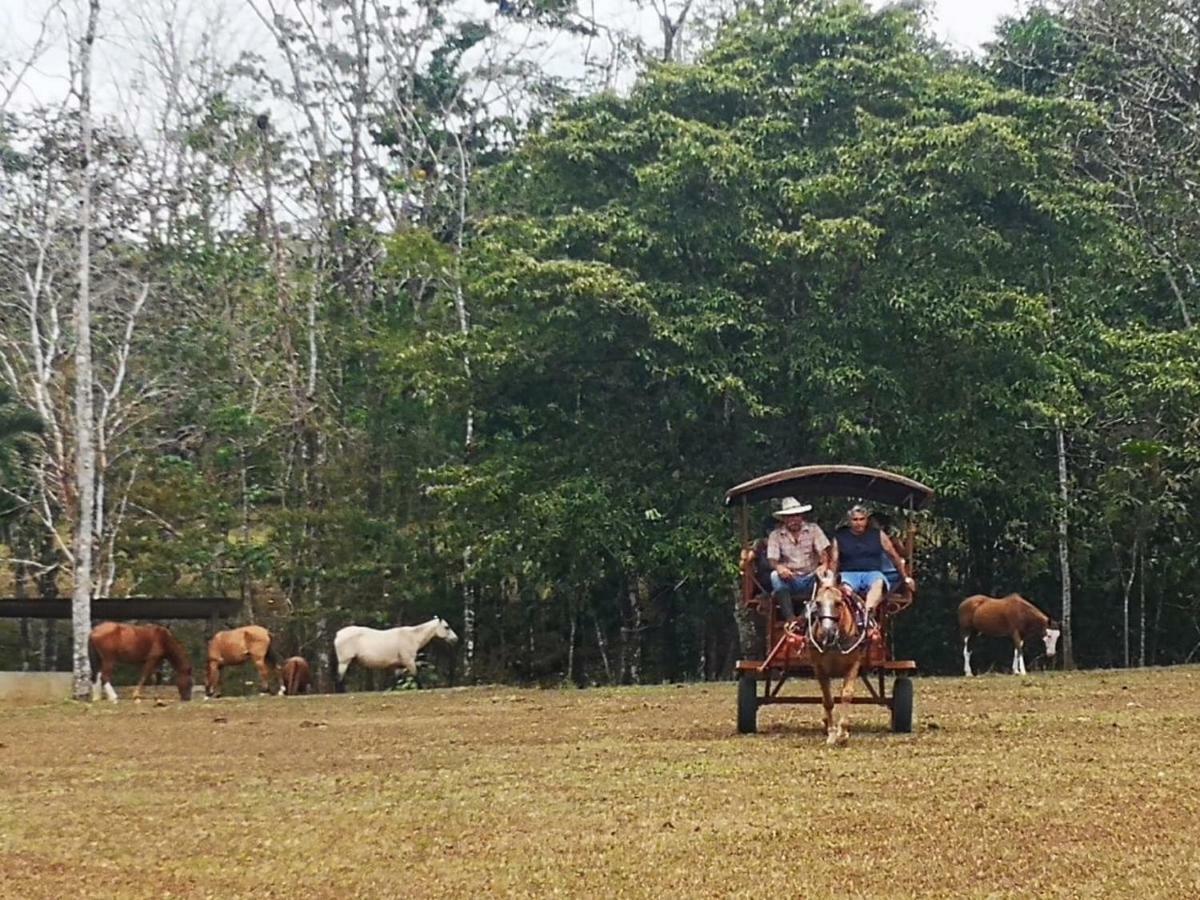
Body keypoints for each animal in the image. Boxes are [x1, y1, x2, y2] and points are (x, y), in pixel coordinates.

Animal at [806, 571, 873, 748]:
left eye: (838, 603)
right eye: (818, 603)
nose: (827, 633)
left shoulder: (853, 664)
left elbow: (846, 695)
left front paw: (842, 733)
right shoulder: (819, 668)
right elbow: (828, 700)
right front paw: (831, 733)